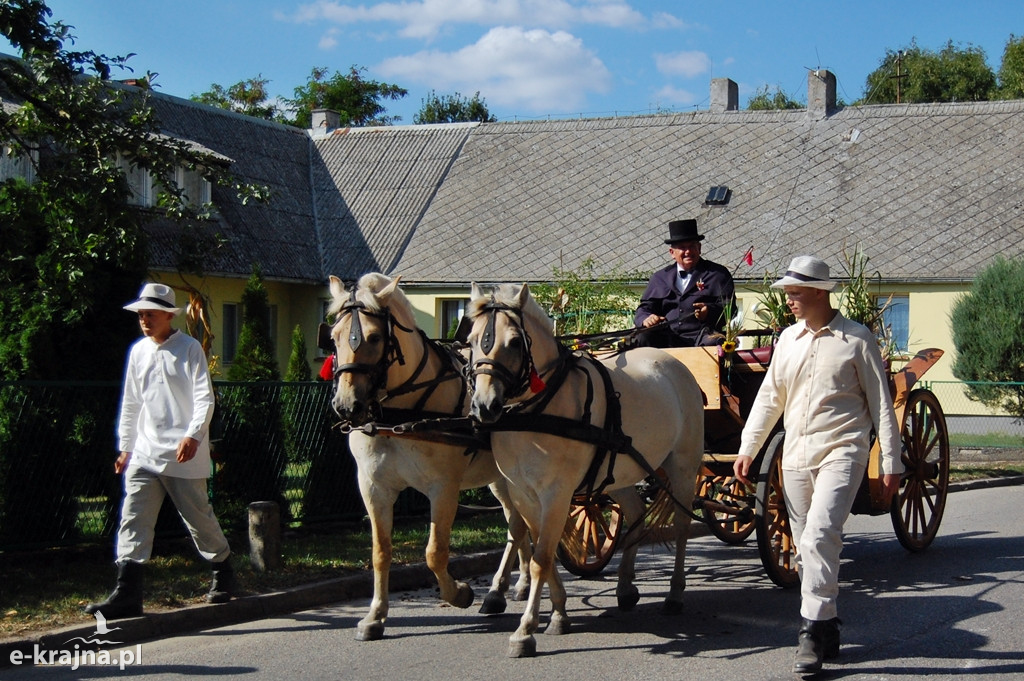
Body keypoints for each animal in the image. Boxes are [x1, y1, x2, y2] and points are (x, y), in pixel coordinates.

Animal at [327, 274, 532, 639]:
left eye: (375, 337)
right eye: (333, 337)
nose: (347, 405)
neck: (398, 416)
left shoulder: (443, 489)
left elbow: (435, 553)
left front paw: (459, 593)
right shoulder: (373, 487)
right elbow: (380, 552)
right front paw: (375, 616)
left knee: (519, 525)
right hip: (500, 480)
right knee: (517, 525)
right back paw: (510, 587)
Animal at [468, 280, 708, 655]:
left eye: (514, 342)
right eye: (472, 340)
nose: (484, 406)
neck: (536, 411)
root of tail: (675, 364)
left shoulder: (557, 493)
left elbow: (541, 557)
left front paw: (525, 630)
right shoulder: (523, 494)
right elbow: (540, 549)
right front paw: (558, 614)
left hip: (683, 466)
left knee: (682, 526)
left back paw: (674, 593)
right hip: (621, 474)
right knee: (635, 512)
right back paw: (625, 588)